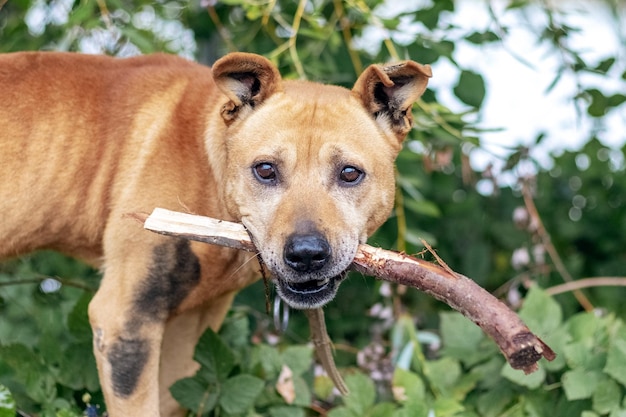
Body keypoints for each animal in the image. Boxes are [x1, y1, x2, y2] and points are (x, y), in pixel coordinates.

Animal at [0, 50, 428, 414]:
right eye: (265, 169)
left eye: (350, 173)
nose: (306, 254)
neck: (208, 172)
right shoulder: (125, 322)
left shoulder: (185, 335)